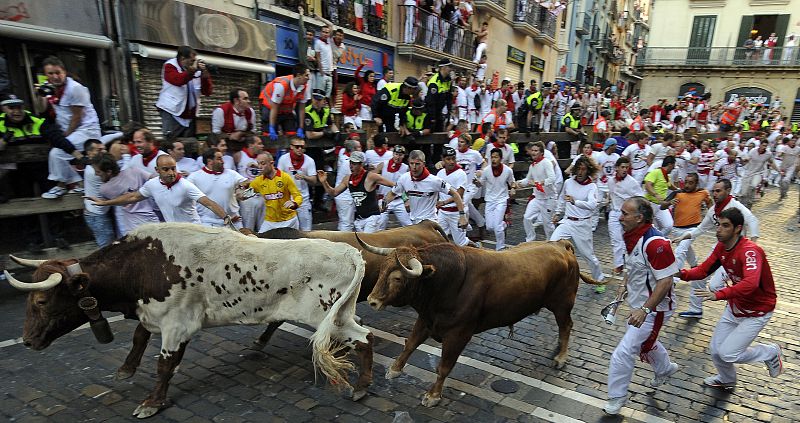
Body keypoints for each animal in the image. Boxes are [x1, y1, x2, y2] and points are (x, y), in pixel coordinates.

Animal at [5, 224, 372, 420]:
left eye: (41, 301)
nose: (28, 341)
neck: (142, 265)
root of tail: (349, 252)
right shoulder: (154, 316)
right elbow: (139, 337)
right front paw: (126, 369)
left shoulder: (177, 325)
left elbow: (164, 364)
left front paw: (152, 403)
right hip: (338, 315)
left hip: (329, 317)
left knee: (364, 337)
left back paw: (362, 388)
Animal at [360, 238, 604, 408]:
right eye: (382, 270)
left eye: (398, 278)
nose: (372, 300)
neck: (449, 280)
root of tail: (561, 245)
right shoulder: (427, 320)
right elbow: (410, 344)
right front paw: (394, 369)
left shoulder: (458, 334)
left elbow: (444, 366)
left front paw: (433, 395)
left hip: (562, 303)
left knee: (566, 326)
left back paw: (561, 356)